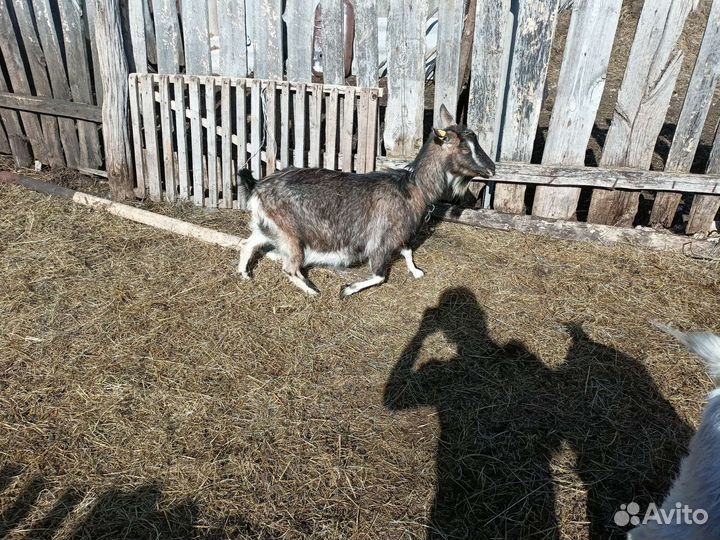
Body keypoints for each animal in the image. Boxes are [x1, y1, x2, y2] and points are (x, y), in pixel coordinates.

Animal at [236, 104, 495, 296]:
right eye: (465, 150)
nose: (492, 168)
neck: (412, 187)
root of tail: (257, 187)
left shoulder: (397, 232)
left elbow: (407, 251)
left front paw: (416, 271)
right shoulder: (379, 241)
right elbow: (380, 275)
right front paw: (348, 289)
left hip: (268, 228)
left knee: (248, 244)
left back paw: (244, 274)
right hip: (290, 235)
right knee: (289, 267)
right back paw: (311, 290)